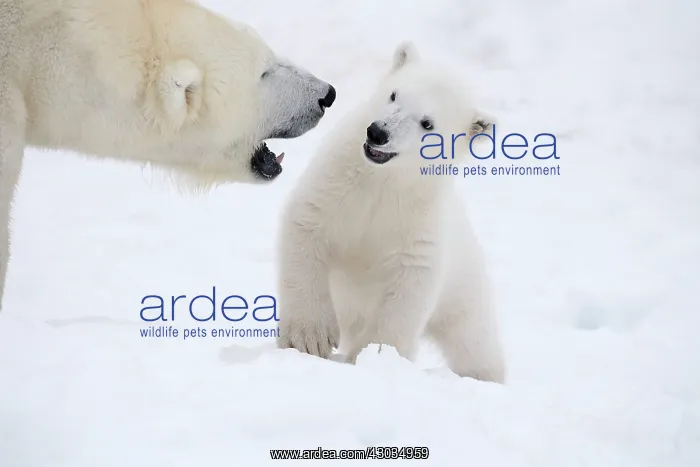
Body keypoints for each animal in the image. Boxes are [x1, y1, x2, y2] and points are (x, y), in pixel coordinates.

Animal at [275, 42, 506, 383]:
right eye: (394, 94)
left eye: (427, 123)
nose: (377, 132)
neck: (383, 179)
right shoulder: (335, 184)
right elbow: (307, 227)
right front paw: (309, 337)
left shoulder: (416, 221)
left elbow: (409, 286)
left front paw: (376, 357)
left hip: (466, 288)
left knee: (475, 342)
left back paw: (485, 377)